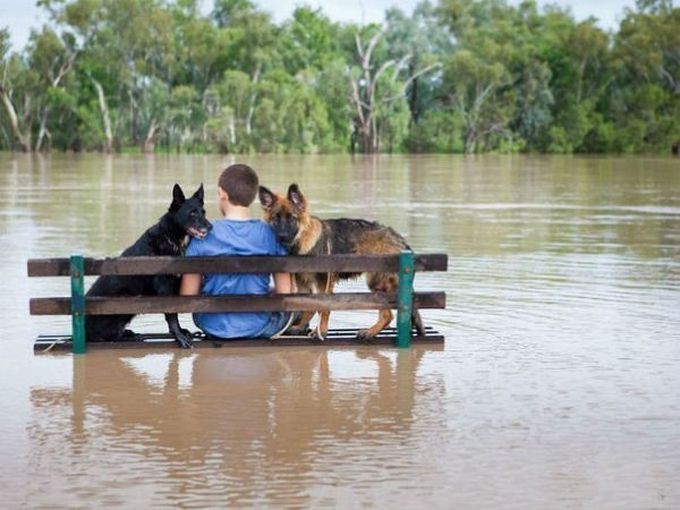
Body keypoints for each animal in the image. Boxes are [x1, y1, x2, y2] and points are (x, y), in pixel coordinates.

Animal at [86, 185, 211, 348]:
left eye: (203, 212)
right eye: (192, 213)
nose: (211, 226)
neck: (171, 240)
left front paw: (180, 332)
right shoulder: (165, 288)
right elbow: (172, 314)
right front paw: (179, 335)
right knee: (106, 337)